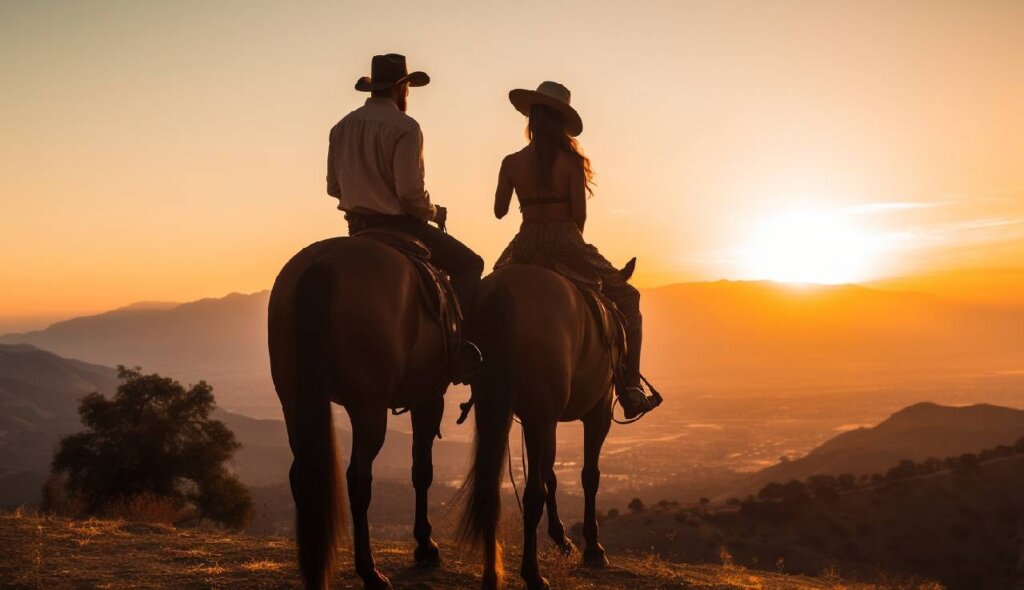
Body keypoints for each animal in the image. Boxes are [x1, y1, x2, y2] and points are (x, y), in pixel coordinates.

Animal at [268, 236, 448, 590]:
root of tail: (324, 260)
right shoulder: (429, 397)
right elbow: (422, 470)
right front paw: (425, 544)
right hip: (369, 409)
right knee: (359, 480)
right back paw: (370, 571)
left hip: (293, 402)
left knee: (302, 474)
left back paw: (314, 569)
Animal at [460, 264, 626, 590]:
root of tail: (505, 290)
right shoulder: (596, 412)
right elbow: (589, 476)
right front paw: (593, 548)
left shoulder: (536, 421)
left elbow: (552, 475)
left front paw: (562, 539)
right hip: (544, 416)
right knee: (532, 493)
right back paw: (532, 574)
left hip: (494, 409)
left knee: (492, 488)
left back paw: (491, 574)